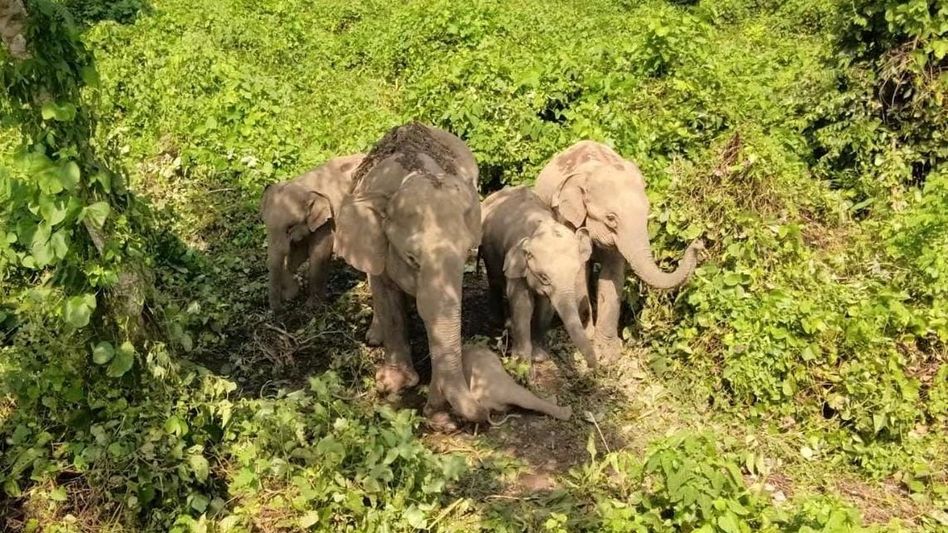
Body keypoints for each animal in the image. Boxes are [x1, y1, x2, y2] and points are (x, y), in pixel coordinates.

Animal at [260, 153, 365, 312]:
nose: (279, 310)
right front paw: (292, 291)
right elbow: (297, 254)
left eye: (290, 227)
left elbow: (318, 253)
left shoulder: (327, 221)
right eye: (265, 224)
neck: (304, 185)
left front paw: (312, 306)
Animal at [334, 122, 487, 427]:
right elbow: (386, 296)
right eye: (412, 259)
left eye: (467, 253)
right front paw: (392, 384)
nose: (442, 418)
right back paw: (375, 336)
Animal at [480, 186, 597, 370]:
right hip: (489, 250)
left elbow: (545, 307)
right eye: (544, 277)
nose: (594, 366)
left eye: (575, 272)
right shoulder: (517, 262)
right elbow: (522, 305)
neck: (541, 228)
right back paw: (498, 321)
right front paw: (521, 362)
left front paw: (539, 357)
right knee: (494, 280)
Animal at [534, 141, 704, 361]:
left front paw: (607, 352)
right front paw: (586, 339)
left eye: (647, 213)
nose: (698, 243)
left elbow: (612, 275)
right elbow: (577, 273)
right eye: (611, 218)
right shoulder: (566, 219)